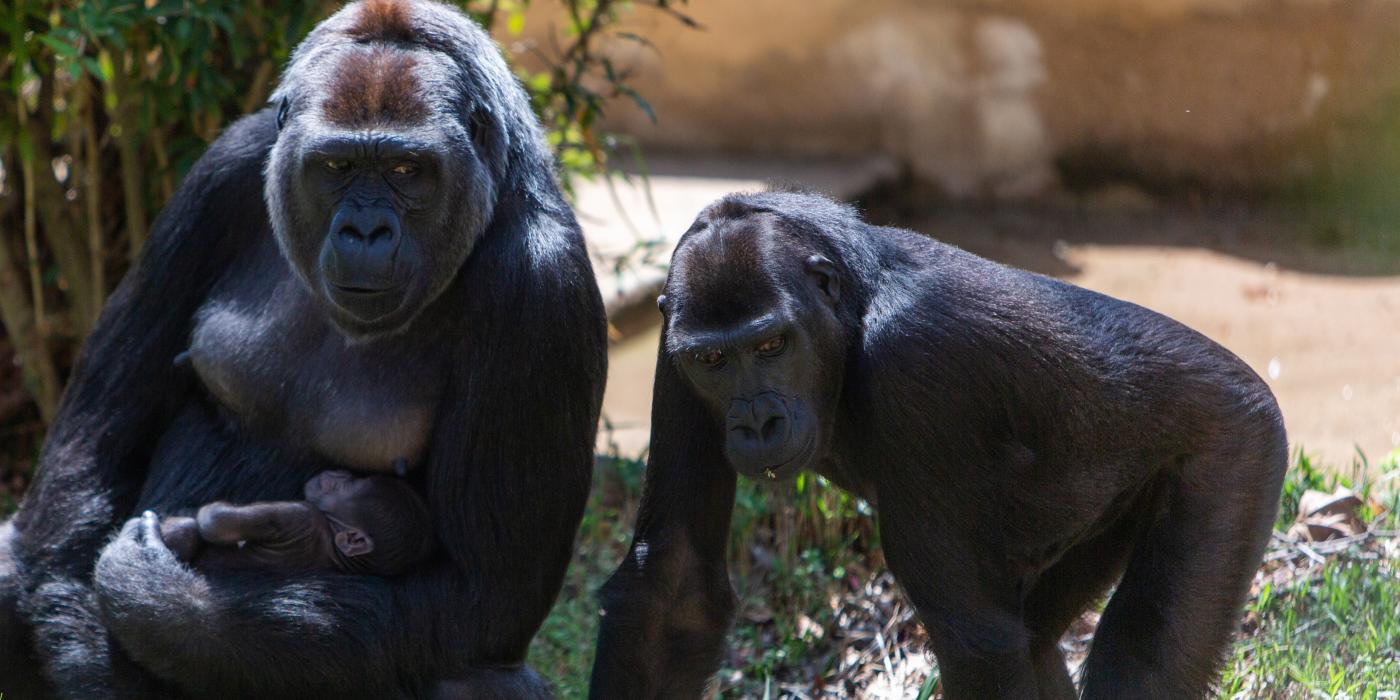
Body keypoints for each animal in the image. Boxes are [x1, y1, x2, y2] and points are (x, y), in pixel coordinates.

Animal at [160, 467, 431, 576]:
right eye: (355, 479)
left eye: (347, 485)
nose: (339, 472)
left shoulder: (302, 516)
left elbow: (216, 521)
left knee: (187, 531)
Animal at [585, 191, 1282, 700]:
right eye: (713, 362)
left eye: (772, 345)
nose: (757, 424)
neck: (850, 309)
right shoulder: (674, 345)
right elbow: (673, 587)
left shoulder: (915, 362)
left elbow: (976, 646)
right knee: (1037, 637)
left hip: (1240, 439)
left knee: (1141, 658)